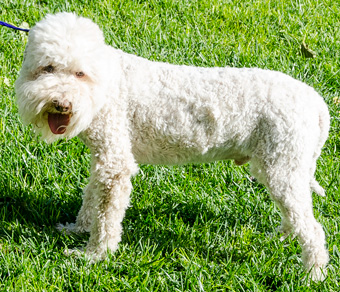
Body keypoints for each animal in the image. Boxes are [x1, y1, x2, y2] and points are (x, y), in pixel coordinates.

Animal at [15, 13, 330, 280]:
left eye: (80, 74)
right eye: (48, 68)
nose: (62, 104)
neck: (107, 82)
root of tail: (315, 101)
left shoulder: (116, 163)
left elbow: (107, 215)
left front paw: (94, 255)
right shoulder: (103, 157)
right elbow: (91, 196)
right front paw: (78, 229)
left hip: (282, 166)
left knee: (313, 229)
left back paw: (313, 274)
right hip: (283, 166)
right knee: (295, 216)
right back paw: (282, 237)